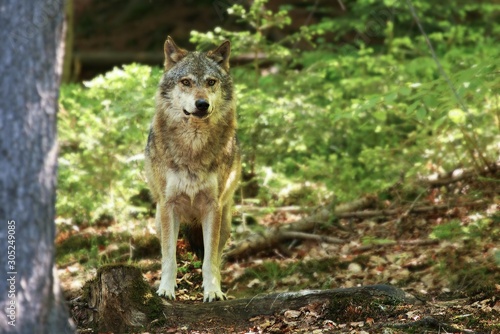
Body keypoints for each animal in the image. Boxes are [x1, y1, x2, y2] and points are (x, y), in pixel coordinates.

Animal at [144, 36, 241, 302]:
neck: (193, 149)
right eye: (186, 82)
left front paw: (213, 291)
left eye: (211, 82)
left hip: (225, 222)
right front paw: (166, 290)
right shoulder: (169, 205)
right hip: (159, 219)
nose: (202, 104)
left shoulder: (212, 206)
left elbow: (209, 261)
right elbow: (169, 259)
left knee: (215, 256)